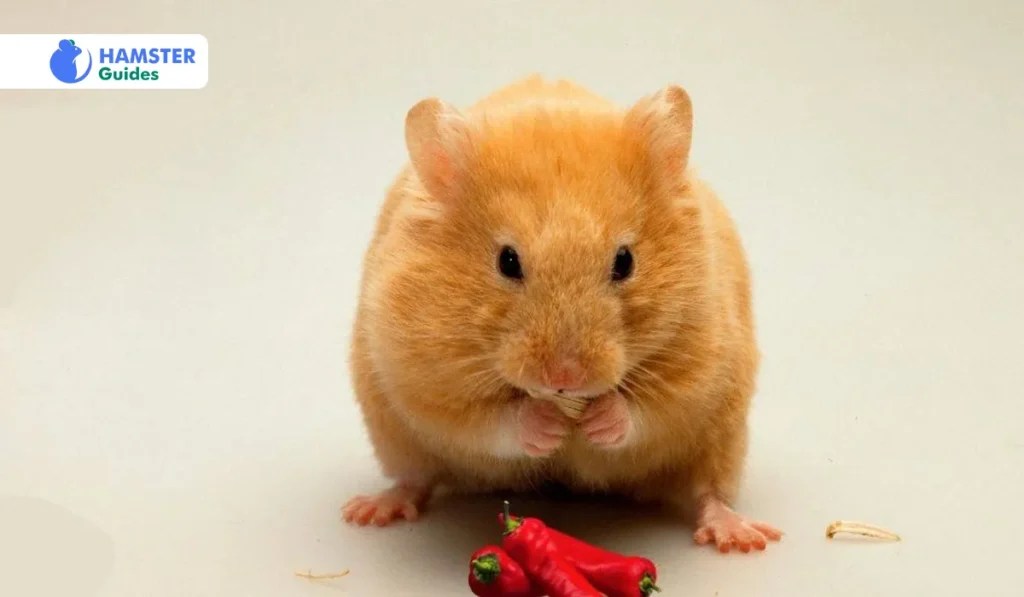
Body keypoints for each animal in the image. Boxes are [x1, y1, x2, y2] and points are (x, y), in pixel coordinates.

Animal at [341, 75, 781, 553]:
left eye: (624, 261)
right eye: (507, 261)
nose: (564, 378)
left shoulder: (701, 361)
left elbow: (650, 410)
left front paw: (597, 420)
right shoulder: (420, 375)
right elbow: (485, 421)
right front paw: (548, 426)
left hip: (724, 437)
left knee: (709, 491)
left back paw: (744, 538)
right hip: (395, 435)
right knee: (415, 479)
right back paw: (368, 512)